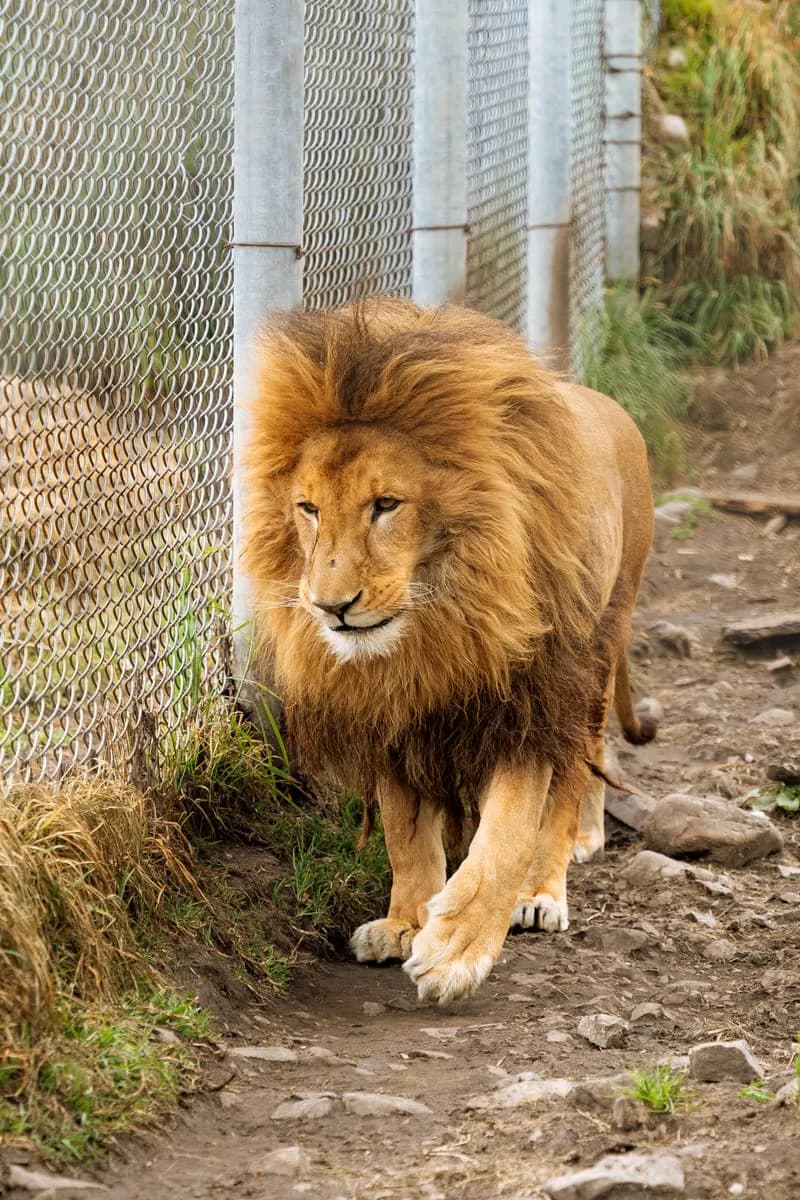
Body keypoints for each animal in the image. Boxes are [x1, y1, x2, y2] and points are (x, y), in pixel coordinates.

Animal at [243, 298, 656, 1005]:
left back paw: (547, 883)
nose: (330, 606)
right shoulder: (392, 717)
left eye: (386, 505)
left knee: (577, 767)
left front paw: (456, 948)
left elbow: (507, 833)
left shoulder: (524, 701)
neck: (436, 625)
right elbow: (406, 833)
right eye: (308, 508)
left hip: (597, 644)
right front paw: (406, 921)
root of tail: (609, 406)